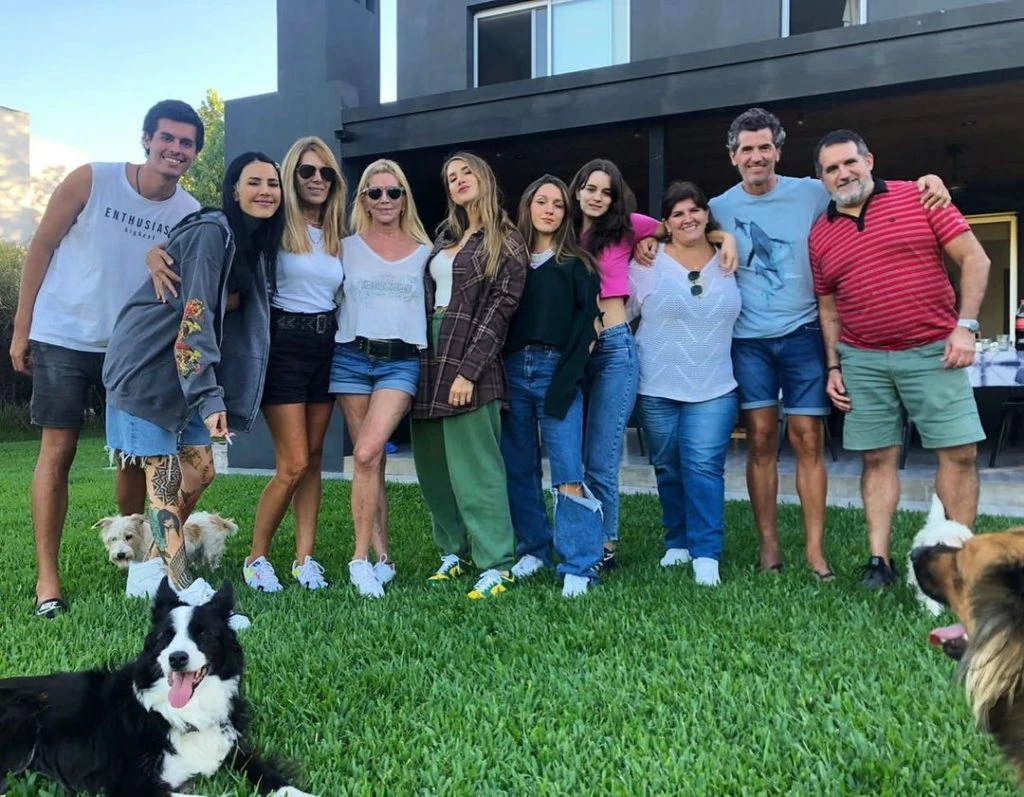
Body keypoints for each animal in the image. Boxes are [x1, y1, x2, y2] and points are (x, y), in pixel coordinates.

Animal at [0, 578, 314, 797]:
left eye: (203, 634)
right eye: (166, 636)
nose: (177, 658)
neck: (185, 712)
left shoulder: (233, 749)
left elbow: (271, 775)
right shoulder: (131, 784)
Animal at [95, 512, 237, 570]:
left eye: (129, 536)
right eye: (113, 539)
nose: (120, 554)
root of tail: (217, 519)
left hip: (211, 549)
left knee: (213, 562)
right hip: (198, 549)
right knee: (199, 559)